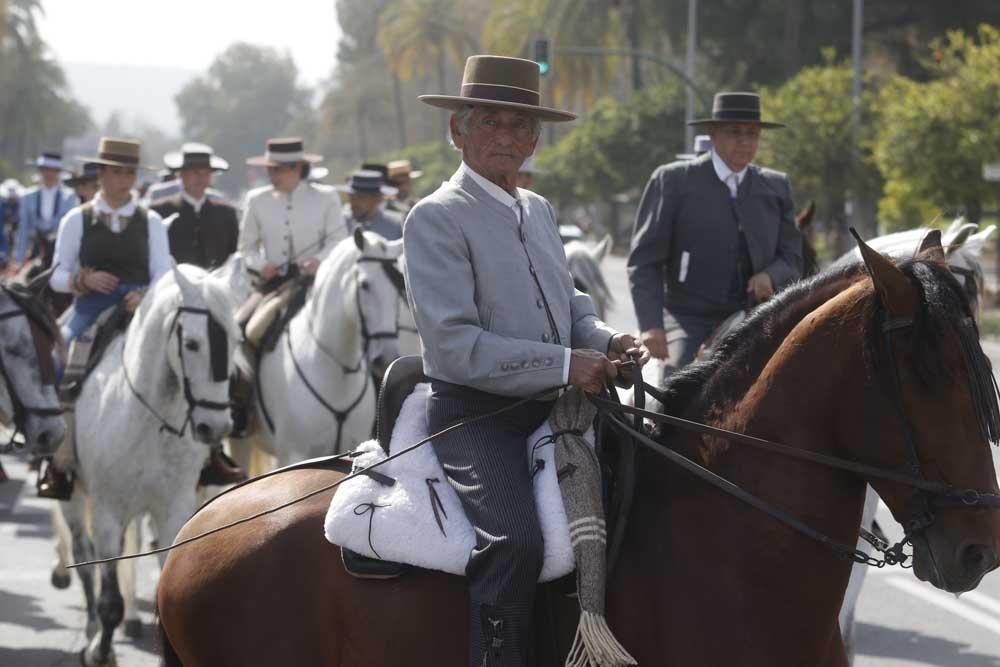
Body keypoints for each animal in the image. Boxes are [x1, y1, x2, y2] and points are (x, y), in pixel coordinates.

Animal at [56, 266, 238, 667]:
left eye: (234, 342)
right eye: (192, 344)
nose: (216, 428)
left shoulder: (173, 510)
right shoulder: (108, 513)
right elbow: (109, 598)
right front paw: (101, 652)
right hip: (72, 495)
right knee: (83, 555)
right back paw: (91, 631)